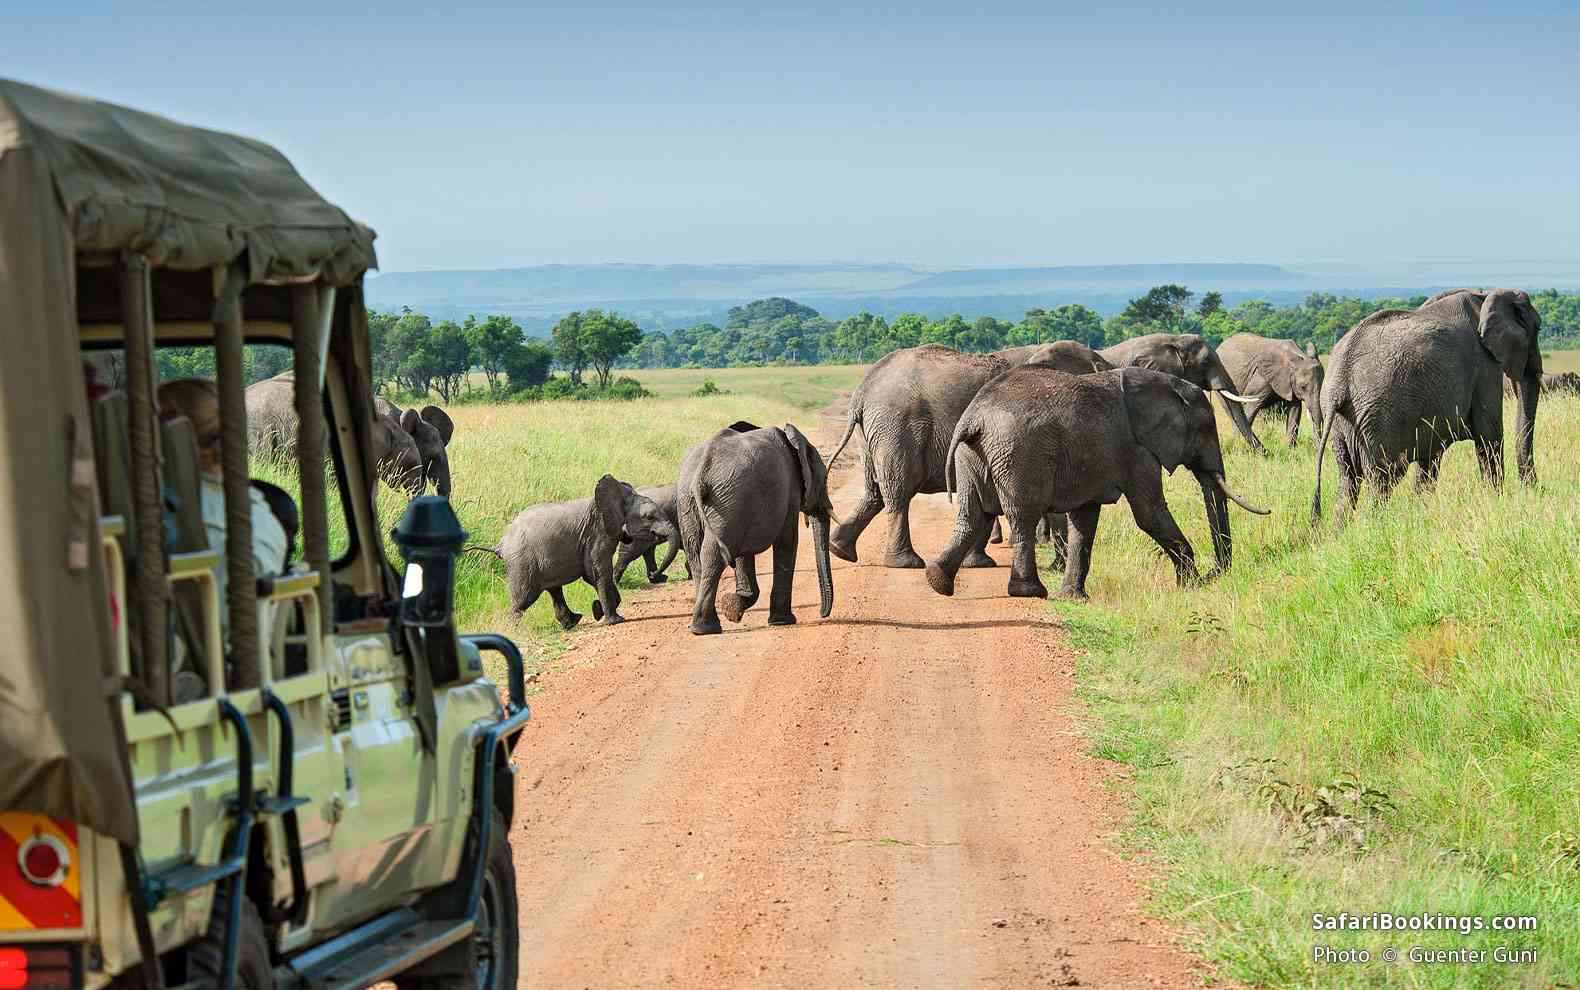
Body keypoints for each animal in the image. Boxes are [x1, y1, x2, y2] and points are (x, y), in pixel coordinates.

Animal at [494, 474, 670, 628]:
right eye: (650, 517)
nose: (655, 576)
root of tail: (501, 543)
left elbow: (593, 575)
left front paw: (598, 611)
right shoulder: (597, 534)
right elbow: (598, 572)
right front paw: (614, 621)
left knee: (554, 590)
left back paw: (572, 623)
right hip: (522, 562)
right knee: (523, 599)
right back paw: (510, 631)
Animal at [677, 423, 835, 635]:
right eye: (824, 478)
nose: (822, 614)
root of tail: (703, 467)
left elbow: (744, 555)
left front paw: (732, 608)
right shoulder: (789, 493)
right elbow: (787, 542)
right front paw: (782, 621)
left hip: (698, 501)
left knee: (697, 556)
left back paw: (703, 627)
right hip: (726, 501)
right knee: (714, 555)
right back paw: (706, 628)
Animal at [825, 345, 1007, 568]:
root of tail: (862, 391)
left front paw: (977, 563)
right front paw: (980, 564)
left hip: (871, 432)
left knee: (874, 491)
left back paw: (839, 549)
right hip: (897, 427)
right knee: (899, 491)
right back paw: (905, 563)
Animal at [925, 366, 1270, 600]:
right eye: (1206, 428)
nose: (1215, 574)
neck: (1164, 385)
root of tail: (973, 419)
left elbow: (1085, 519)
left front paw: (1074, 598)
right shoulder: (1137, 451)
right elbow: (1149, 513)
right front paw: (1191, 586)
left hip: (972, 457)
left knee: (973, 515)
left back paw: (937, 580)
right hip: (1018, 455)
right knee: (1022, 516)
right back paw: (1030, 592)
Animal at [1313, 288, 1542, 519]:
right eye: (1538, 327)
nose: (1533, 489)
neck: (1485, 294)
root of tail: (1339, 382)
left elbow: (1430, 457)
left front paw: (1421, 510)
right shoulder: (1485, 366)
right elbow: (1489, 437)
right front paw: (1495, 502)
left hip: (1343, 425)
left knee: (1348, 481)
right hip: (1378, 420)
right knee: (1383, 479)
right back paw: (1374, 522)